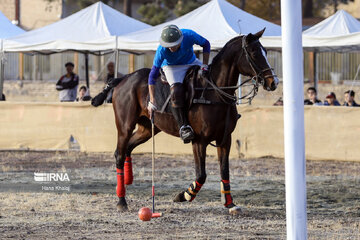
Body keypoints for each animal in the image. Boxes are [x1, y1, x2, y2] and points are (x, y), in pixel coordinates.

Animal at [93, 27, 278, 214]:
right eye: (254, 53)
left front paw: (230, 204)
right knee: (119, 153)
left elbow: (225, 171)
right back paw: (121, 200)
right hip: (125, 126)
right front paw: (183, 195)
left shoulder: (225, 139)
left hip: (147, 128)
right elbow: (201, 175)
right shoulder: (199, 141)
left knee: (128, 148)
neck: (215, 92)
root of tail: (122, 79)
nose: (274, 82)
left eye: (265, 51)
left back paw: (128, 180)